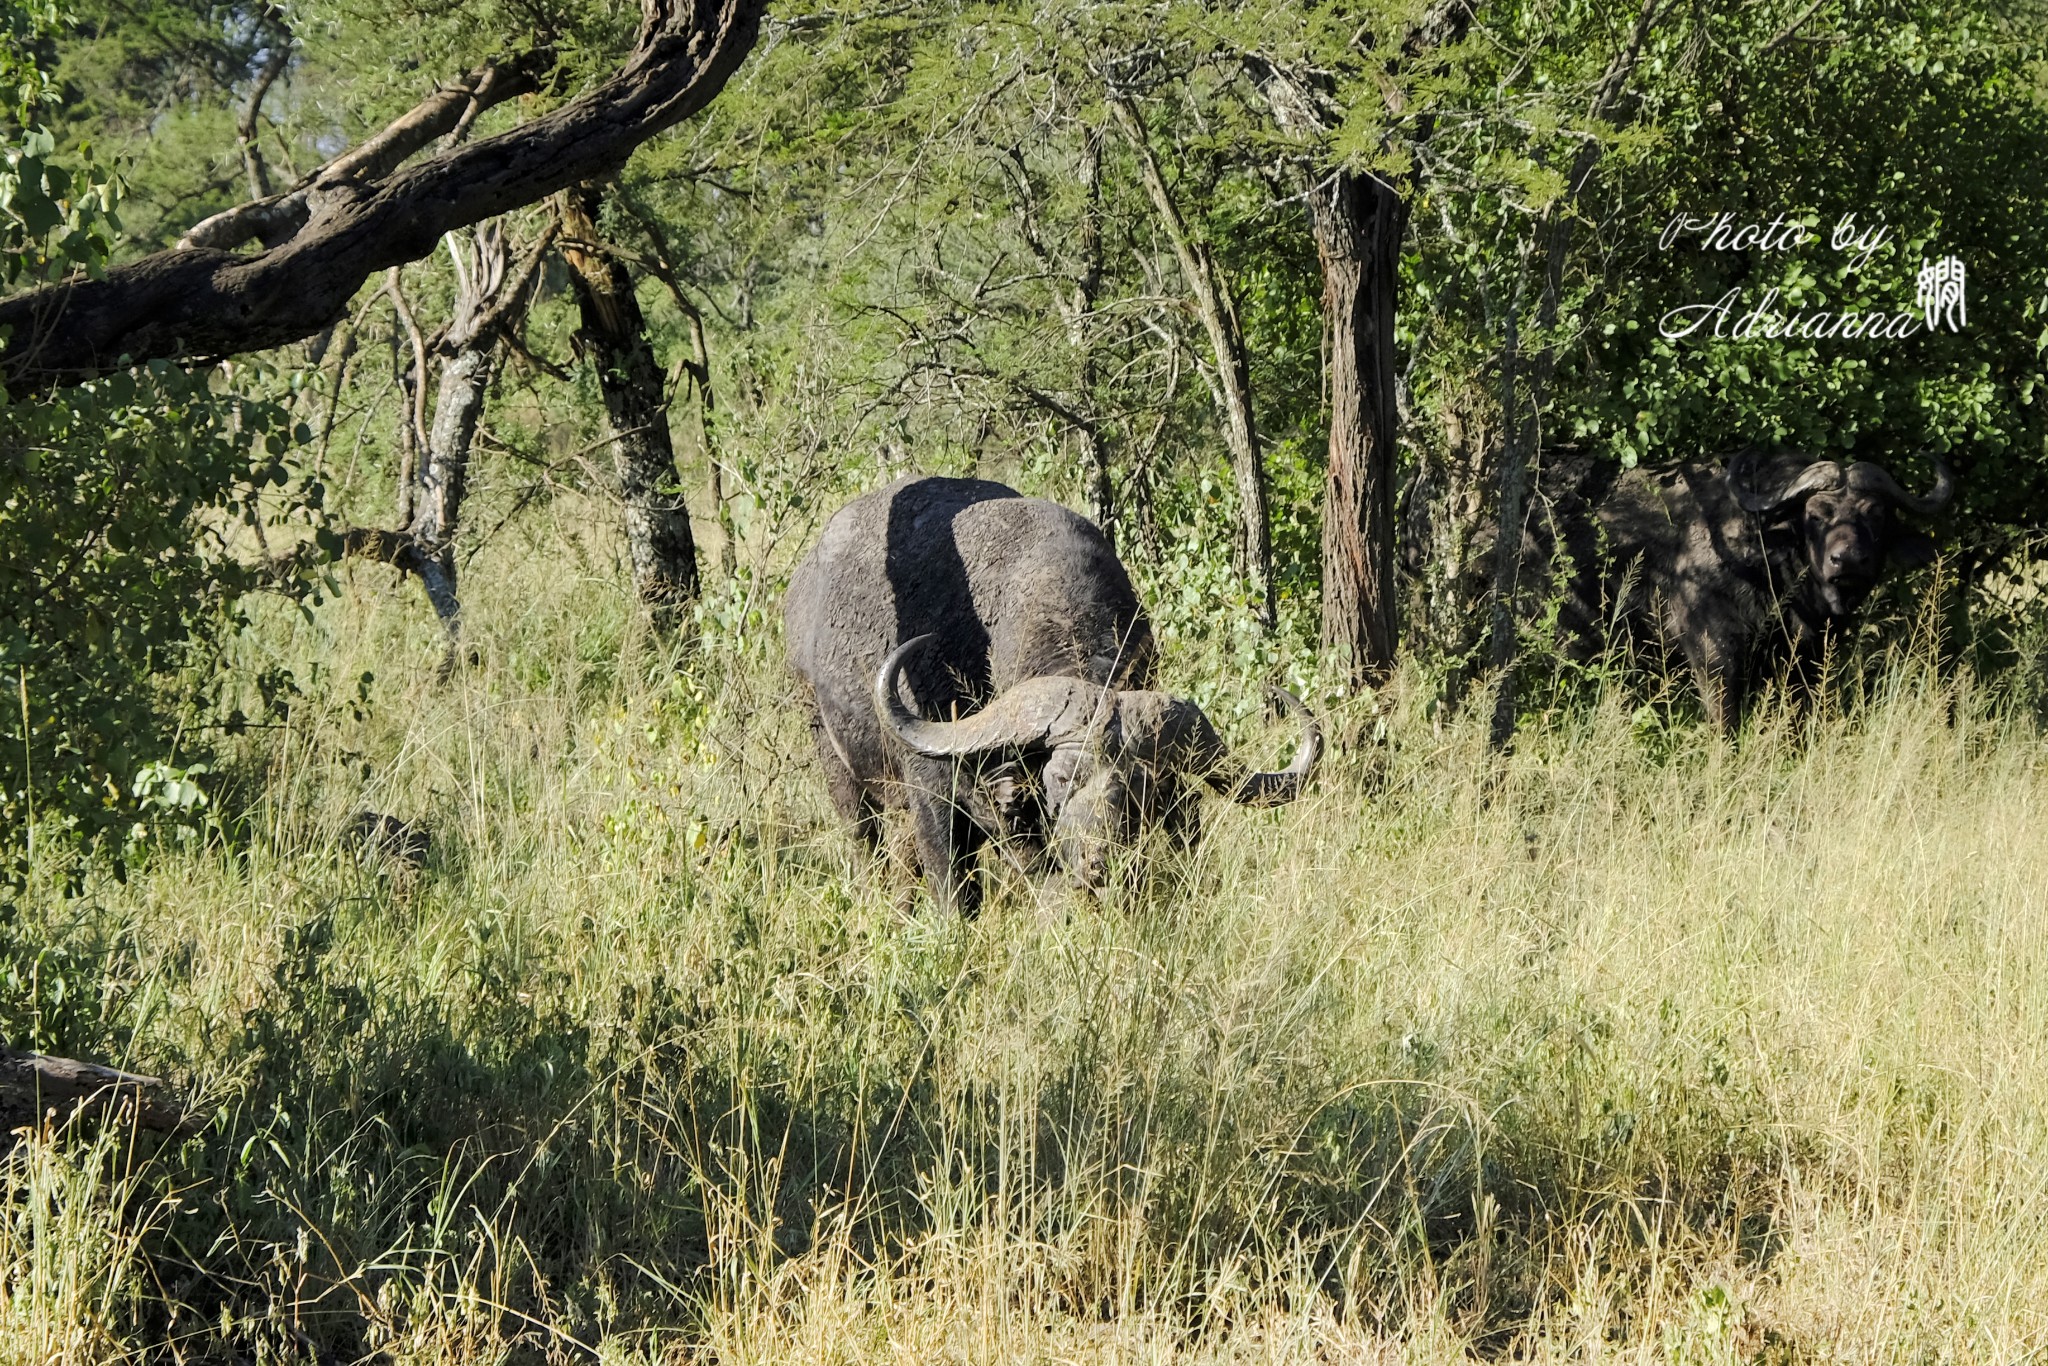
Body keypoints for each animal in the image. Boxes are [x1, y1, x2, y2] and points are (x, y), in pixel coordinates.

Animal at [774, 475, 1318, 913]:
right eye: (1060, 778)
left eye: (1139, 793)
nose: (1099, 860)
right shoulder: (932, 794)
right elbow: (956, 892)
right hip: (833, 755)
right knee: (867, 844)